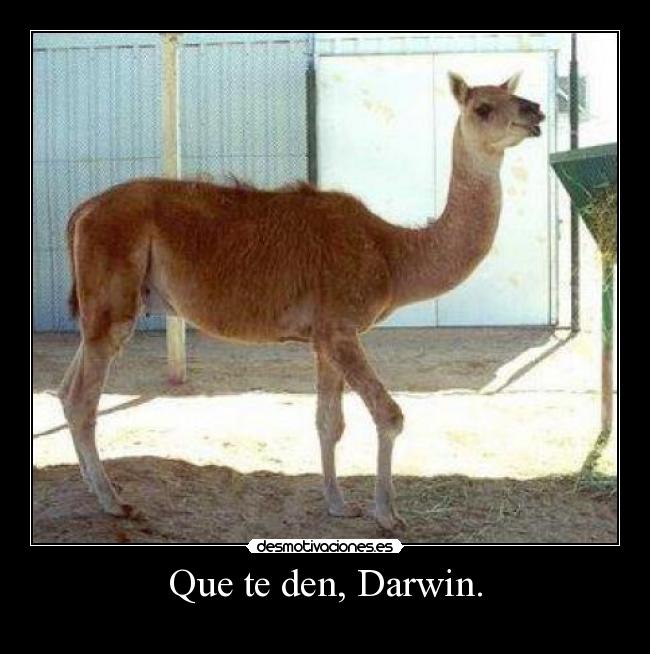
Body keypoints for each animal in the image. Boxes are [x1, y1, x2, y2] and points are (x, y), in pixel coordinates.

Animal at [58, 72, 544, 531]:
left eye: (512, 95)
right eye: (483, 107)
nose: (535, 111)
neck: (391, 251)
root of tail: (83, 211)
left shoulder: (323, 339)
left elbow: (329, 423)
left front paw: (338, 505)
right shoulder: (341, 330)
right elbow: (388, 414)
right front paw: (387, 514)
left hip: (103, 308)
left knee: (67, 391)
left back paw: (96, 487)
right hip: (113, 298)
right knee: (83, 400)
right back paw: (114, 502)